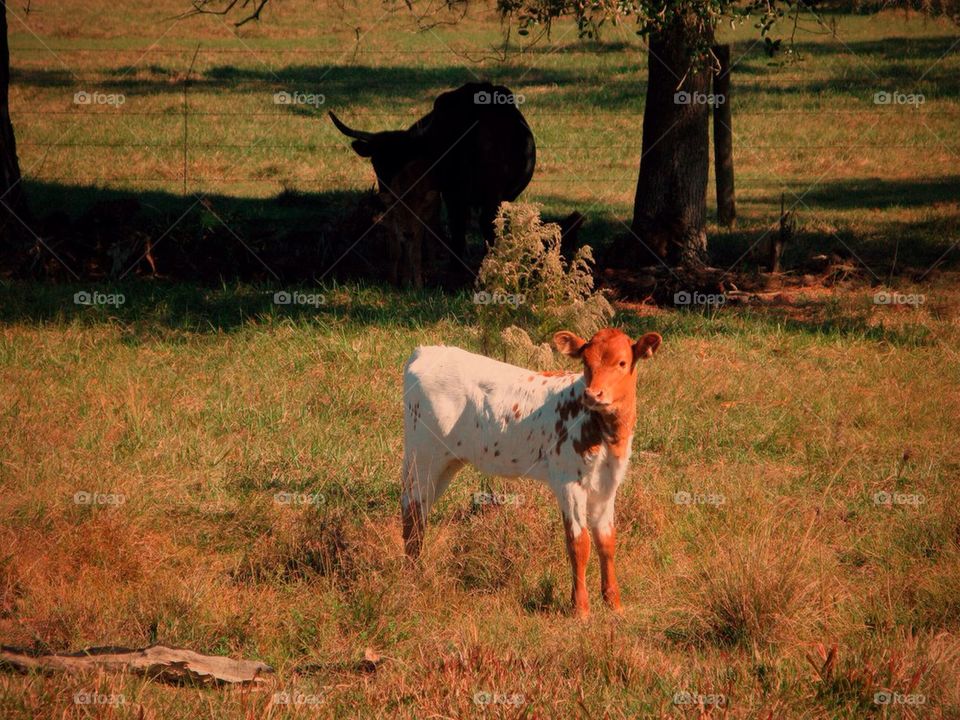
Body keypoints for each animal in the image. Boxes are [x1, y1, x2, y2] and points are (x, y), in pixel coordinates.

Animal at [401, 327, 662, 617]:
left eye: (622, 363)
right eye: (586, 362)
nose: (593, 395)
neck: (608, 434)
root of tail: (426, 351)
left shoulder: (607, 484)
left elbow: (606, 541)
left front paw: (613, 603)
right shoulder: (569, 482)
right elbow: (579, 543)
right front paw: (580, 608)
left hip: (447, 461)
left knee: (422, 508)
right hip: (423, 454)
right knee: (412, 510)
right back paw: (412, 579)